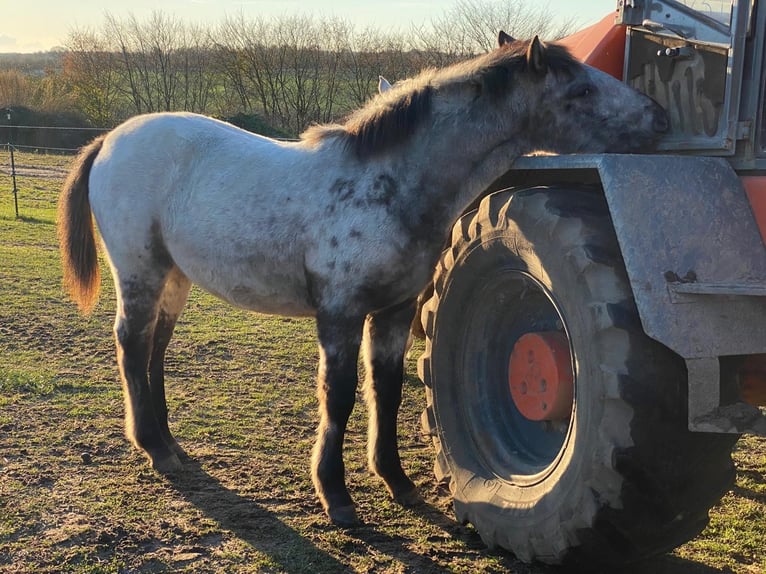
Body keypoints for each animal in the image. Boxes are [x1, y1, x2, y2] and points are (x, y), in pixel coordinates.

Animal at [57, 33, 668, 527]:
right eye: (581, 90)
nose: (660, 118)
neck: (388, 185)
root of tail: (111, 139)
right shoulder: (341, 314)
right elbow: (340, 396)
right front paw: (336, 496)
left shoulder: (394, 311)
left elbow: (386, 391)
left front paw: (397, 481)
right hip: (140, 270)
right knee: (131, 345)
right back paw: (155, 448)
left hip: (174, 277)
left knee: (155, 347)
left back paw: (170, 444)